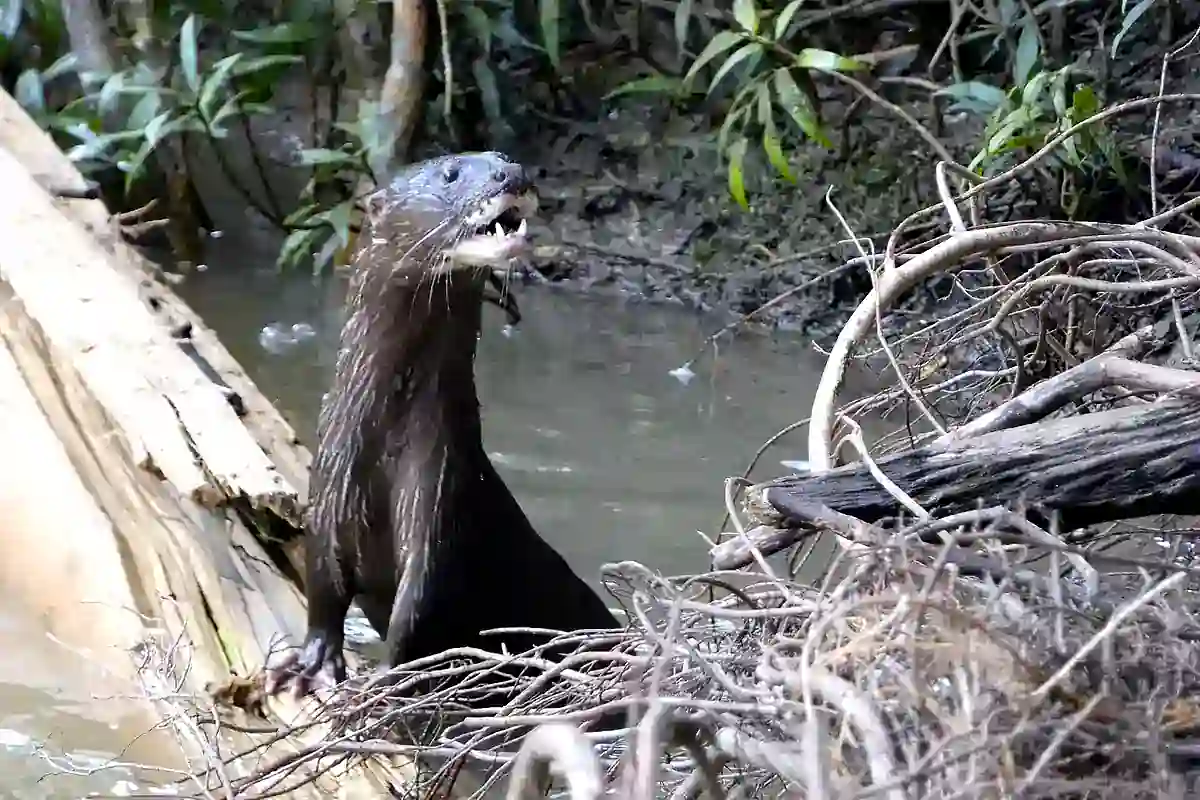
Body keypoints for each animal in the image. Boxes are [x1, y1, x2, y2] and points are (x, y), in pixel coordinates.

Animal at [265, 152, 620, 699]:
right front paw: (310, 663)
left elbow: (421, 605)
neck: (386, 438)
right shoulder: (329, 484)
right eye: (451, 173)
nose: (511, 173)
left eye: (501, 157)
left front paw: (384, 684)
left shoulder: (440, 484)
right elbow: (322, 582)